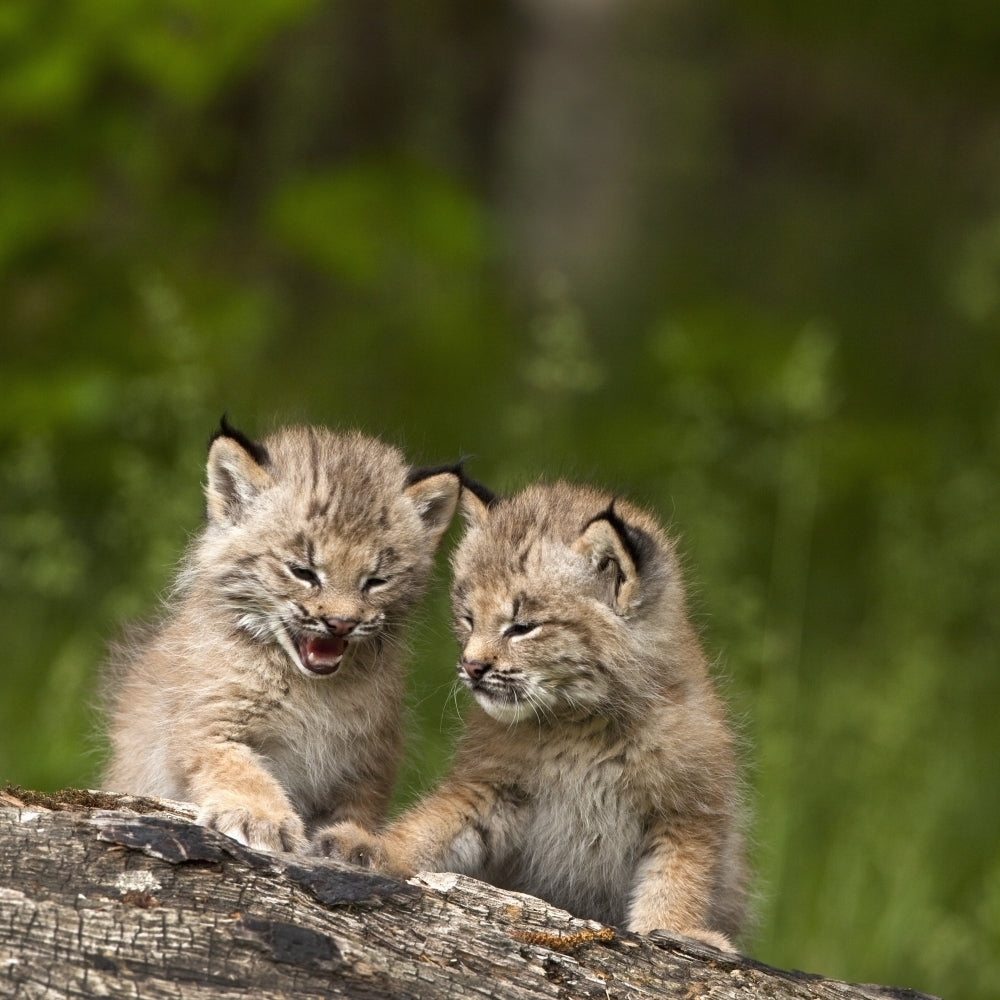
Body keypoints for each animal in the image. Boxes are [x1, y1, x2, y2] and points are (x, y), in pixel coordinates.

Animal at [101, 420, 460, 852]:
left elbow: (361, 812)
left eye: (376, 581)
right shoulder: (209, 725)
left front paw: (352, 842)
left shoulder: (369, 761)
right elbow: (239, 768)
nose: (341, 623)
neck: (314, 687)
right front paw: (260, 817)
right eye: (302, 571)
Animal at [316, 480, 748, 948]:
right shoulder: (496, 785)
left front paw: (679, 932)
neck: (581, 724)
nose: (471, 667)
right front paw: (374, 848)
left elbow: (677, 879)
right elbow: (435, 824)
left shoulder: (689, 810)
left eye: (523, 627)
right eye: (468, 618)